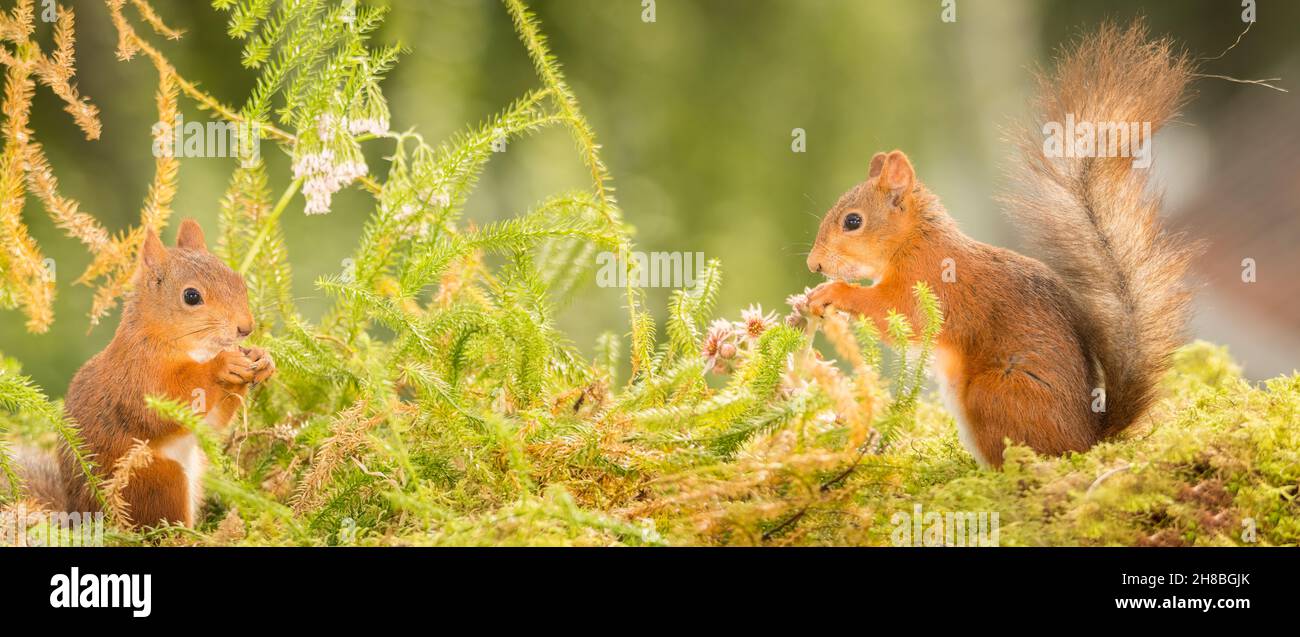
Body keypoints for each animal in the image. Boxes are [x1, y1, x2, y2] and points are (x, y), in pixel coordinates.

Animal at [11, 219, 275, 527]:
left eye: (239, 281)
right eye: (191, 296)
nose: (246, 328)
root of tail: (86, 517)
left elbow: (212, 424)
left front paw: (261, 358)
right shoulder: (140, 375)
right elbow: (169, 402)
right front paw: (222, 365)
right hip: (156, 480)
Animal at [804, 23, 1195, 468]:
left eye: (853, 221)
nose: (814, 264)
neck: (914, 241)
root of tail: (1088, 440)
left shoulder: (931, 283)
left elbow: (898, 315)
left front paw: (831, 293)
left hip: (995, 393)